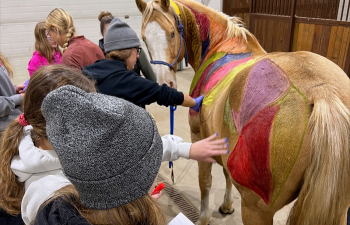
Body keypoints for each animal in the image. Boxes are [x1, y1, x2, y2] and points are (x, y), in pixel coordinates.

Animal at [135, 0, 350, 224]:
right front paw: (227, 205)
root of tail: (321, 91)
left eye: (172, 33)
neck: (222, 46)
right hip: (340, 210)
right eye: (144, 38)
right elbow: (225, 174)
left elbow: (205, 181)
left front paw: (203, 217)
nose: (164, 84)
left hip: (255, 210)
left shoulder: (198, 136)